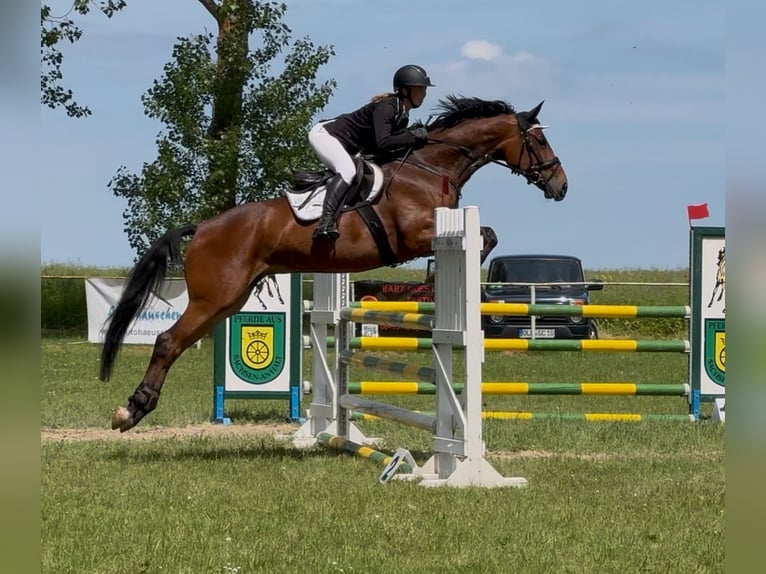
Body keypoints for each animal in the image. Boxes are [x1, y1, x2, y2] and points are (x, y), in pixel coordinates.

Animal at [100, 96, 568, 432]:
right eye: (541, 141)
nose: (561, 186)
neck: (428, 166)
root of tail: (202, 227)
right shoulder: (413, 236)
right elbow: (483, 236)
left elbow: (487, 234)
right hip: (214, 297)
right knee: (167, 341)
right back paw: (131, 411)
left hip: (228, 301)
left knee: (177, 342)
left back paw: (134, 409)